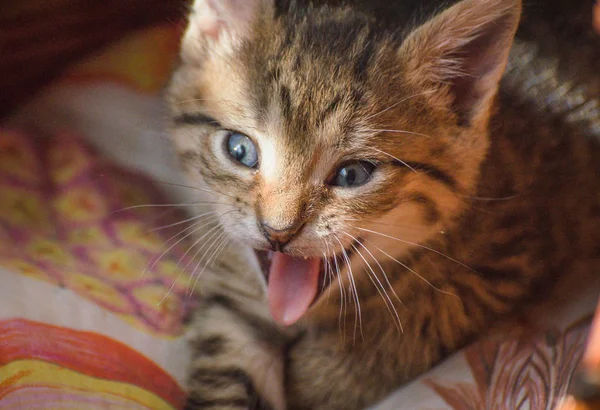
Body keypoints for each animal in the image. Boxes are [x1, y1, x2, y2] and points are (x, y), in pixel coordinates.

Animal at [165, 0, 600, 408]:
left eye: (352, 175)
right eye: (240, 150)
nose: (277, 232)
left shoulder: (513, 255)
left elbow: (427, 318)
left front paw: (325, 374)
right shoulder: (235, 299)